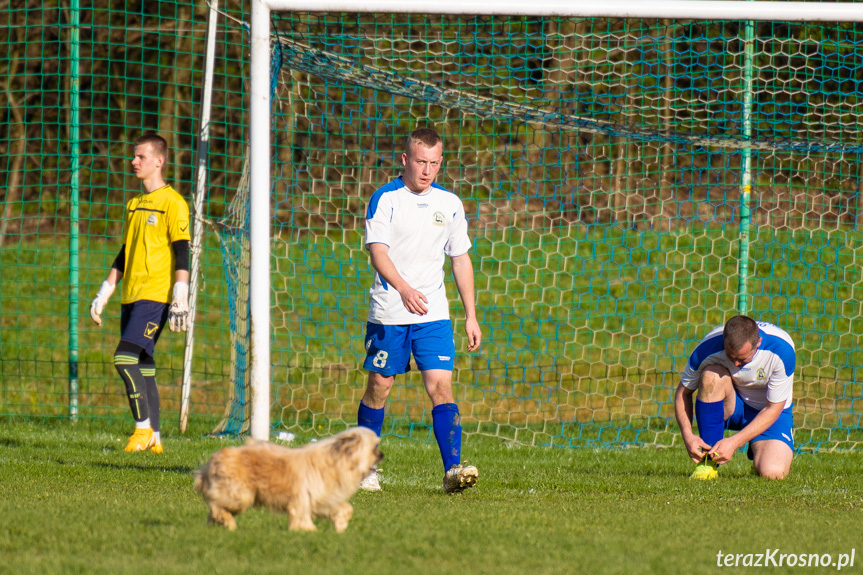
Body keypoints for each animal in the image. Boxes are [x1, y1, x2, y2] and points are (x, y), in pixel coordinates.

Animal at [197, 430, 386, 532]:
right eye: (374, 448)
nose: (382, 454)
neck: (336, 460)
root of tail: (212, 461)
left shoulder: (324, 498)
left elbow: (345, 509)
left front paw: (340, 528)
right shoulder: (302, 499)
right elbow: (302, 517)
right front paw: (309, 531)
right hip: (240, 496)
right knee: (215, 506)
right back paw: (228, 523)